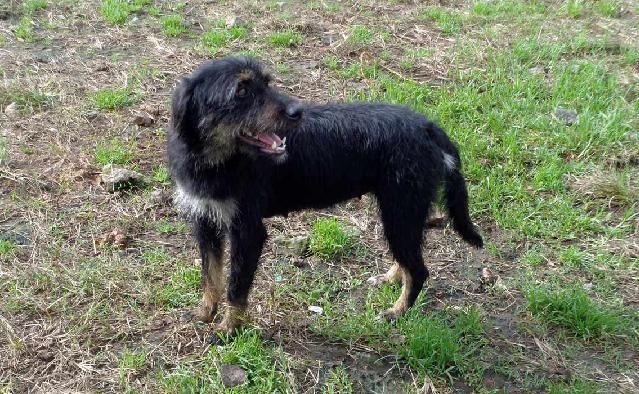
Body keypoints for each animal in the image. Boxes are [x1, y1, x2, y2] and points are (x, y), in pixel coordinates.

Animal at [168, 56, 482, 336]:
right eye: (241, 91)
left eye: (267, 83)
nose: (297, 111)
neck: (213, 161)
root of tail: (427, 126)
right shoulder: (204, 221)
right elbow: (210, 276)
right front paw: (204, 313)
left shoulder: (248, 231)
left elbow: (236, 287)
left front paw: (229, 329)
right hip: (401, 215)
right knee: (408, 258)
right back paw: (393, 277)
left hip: (400, 212)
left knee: (418, 270)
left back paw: (397, 311)